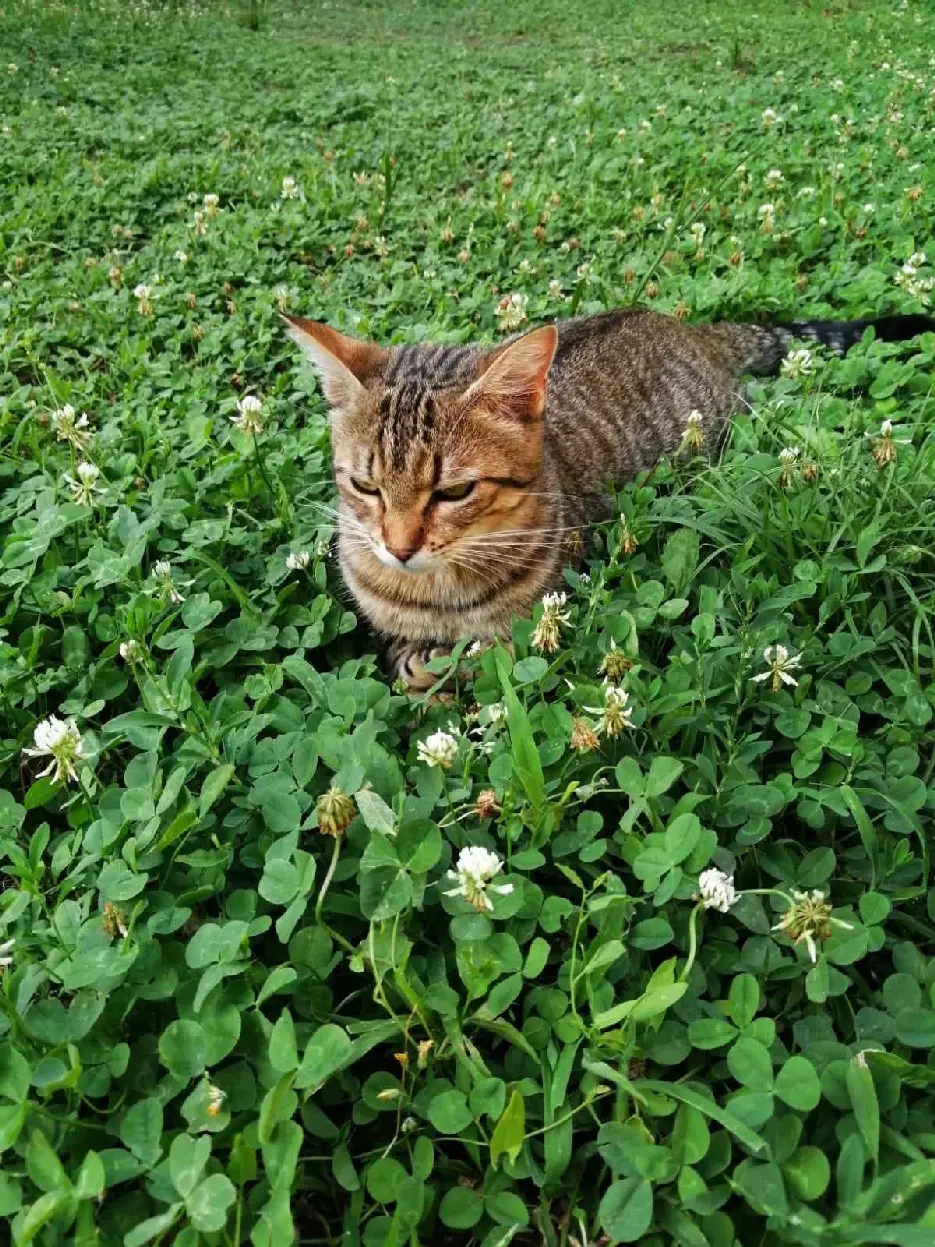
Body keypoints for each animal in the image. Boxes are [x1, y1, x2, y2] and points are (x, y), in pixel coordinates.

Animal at [287, 305, 935, 688]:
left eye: (455, 491)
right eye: (365, 486)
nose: (398, 549)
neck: (439, 595)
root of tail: (686, 326)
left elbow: (489, 654)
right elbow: (402, 654)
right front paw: (422, 666)